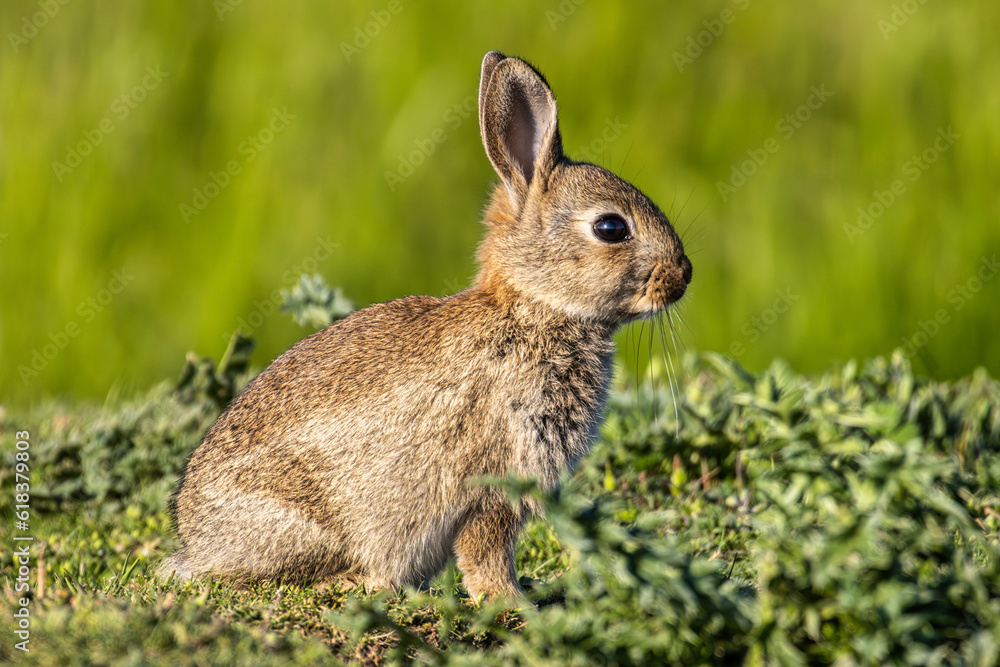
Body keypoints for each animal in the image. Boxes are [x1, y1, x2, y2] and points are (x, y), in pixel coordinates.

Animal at [160, 51, 692, 600]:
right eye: (611, 228)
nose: (683, 276)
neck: (533, 309)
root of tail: (195, 539)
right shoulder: (498, 475)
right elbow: (487, 549)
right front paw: (511, 602)